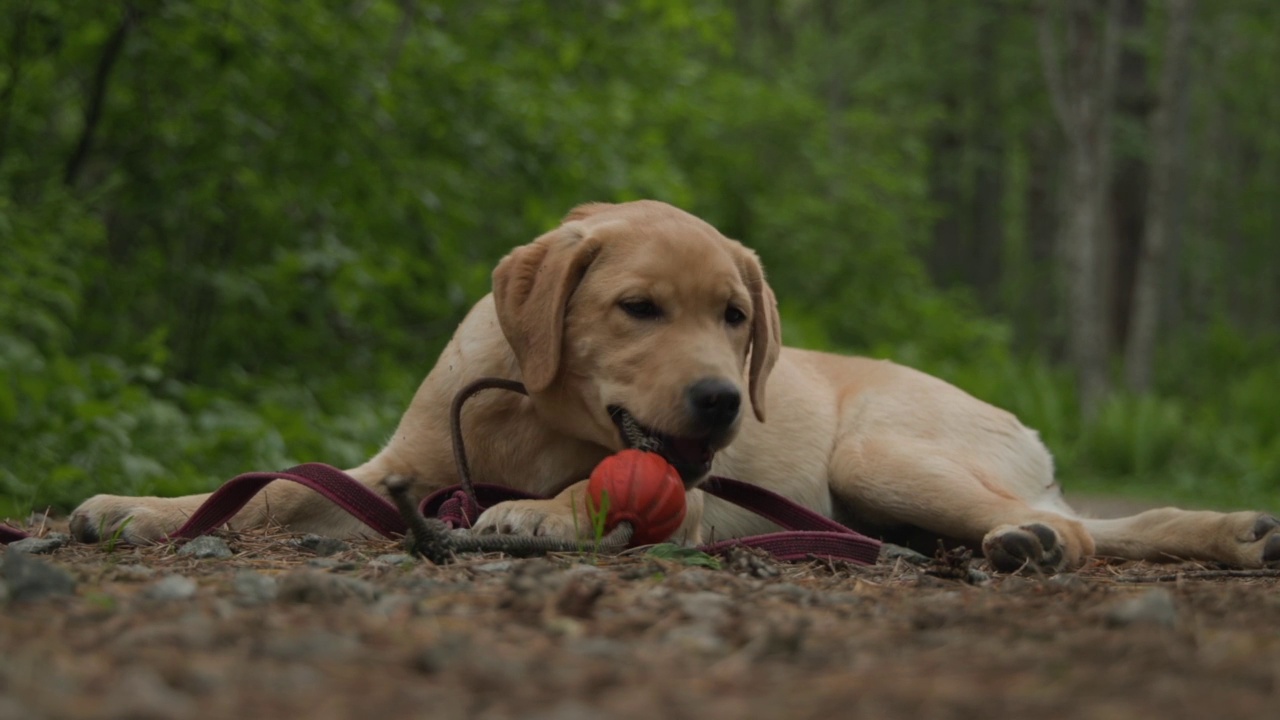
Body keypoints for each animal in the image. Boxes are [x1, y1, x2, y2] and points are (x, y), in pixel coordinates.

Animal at [72, 198, 1280, 568]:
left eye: (735, 319)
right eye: (638, 308)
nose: (717, 402)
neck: (530, 418)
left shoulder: (689, 496)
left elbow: (592, 489)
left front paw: (537, 514)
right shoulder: (386, 474)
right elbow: (271, 485)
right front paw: (139, 508)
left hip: (876, 452)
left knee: (1069, 531)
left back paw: (1030, 545)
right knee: (1110, 526)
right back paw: (1232, 534)